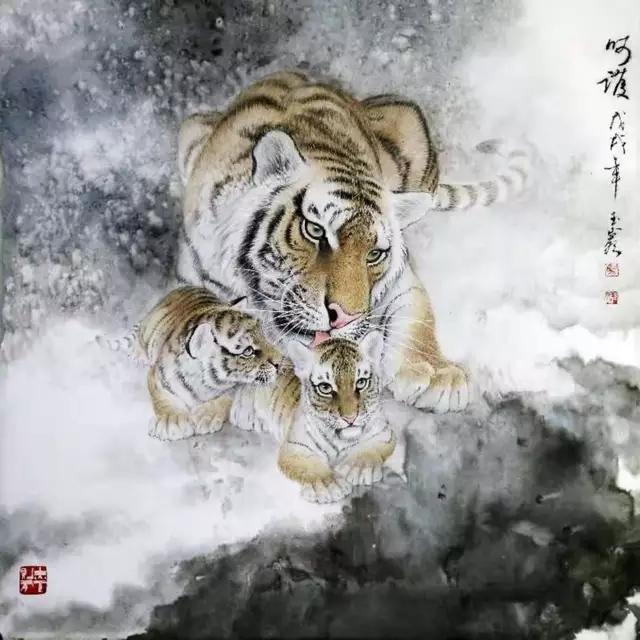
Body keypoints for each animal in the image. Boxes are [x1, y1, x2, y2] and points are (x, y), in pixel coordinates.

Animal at [97, 286, 282, 441]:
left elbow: (224, 399)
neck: (204, 383)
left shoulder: (233, 388)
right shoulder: (155, 376)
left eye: (263, 335)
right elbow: (163, 399)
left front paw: (206, 416)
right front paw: (171, 422)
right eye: (248, 351)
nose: (280, 362)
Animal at [176, 71, 531, 415]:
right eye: (315, 230)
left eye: (374, 254)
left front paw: (436, 374)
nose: (344, 318)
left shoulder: (401, 277)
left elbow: (418, 313)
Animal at [229, 331, 394, 503]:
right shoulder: (295, 448)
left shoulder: (384, 433)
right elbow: (311, 467)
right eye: (325, 387)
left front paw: (356, 468)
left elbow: (368, 451)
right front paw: (329, 486)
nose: (350, 418)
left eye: (361, 382)